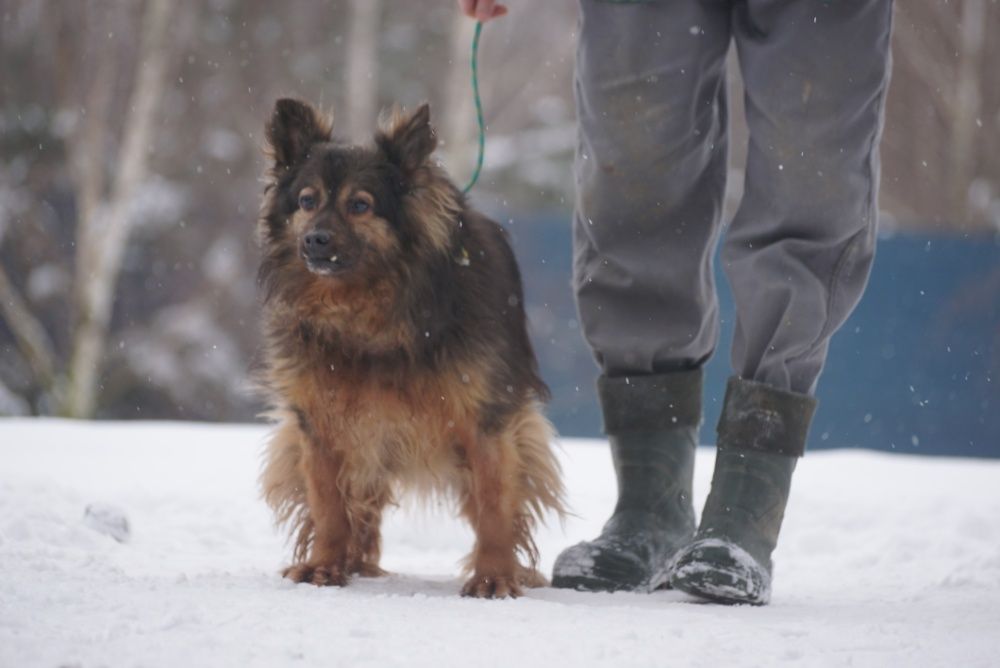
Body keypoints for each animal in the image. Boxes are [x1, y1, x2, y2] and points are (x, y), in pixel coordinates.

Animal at [254, 96, 568, 596]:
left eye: (360, 205)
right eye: (306, 201)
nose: (315, 240)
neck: (370, 312)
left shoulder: (486, 419)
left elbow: (495, 503)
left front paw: (494, 577)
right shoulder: (320, 422)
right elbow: (327, 504)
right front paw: (324, 565)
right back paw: (353, 561)